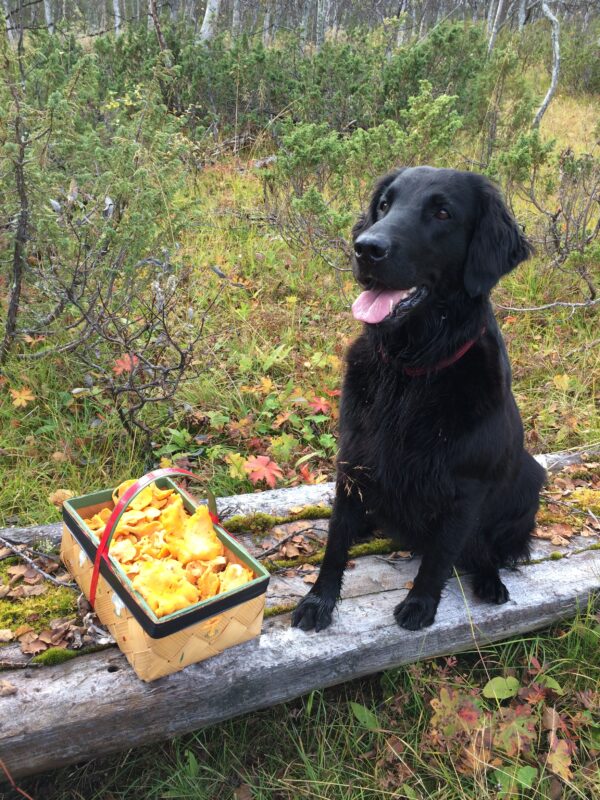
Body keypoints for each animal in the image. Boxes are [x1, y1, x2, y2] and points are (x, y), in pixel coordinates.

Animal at [292, 167, 548, 632]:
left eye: (442, 213)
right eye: (384, 205)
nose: (366, 248)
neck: (409, 372)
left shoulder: (465, 489)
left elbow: (441, 556)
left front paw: (421, 604)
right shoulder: (353, 461)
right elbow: (336, 542)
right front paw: (319, 600)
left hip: (530, 479)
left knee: (483, 549)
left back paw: (489, 580)